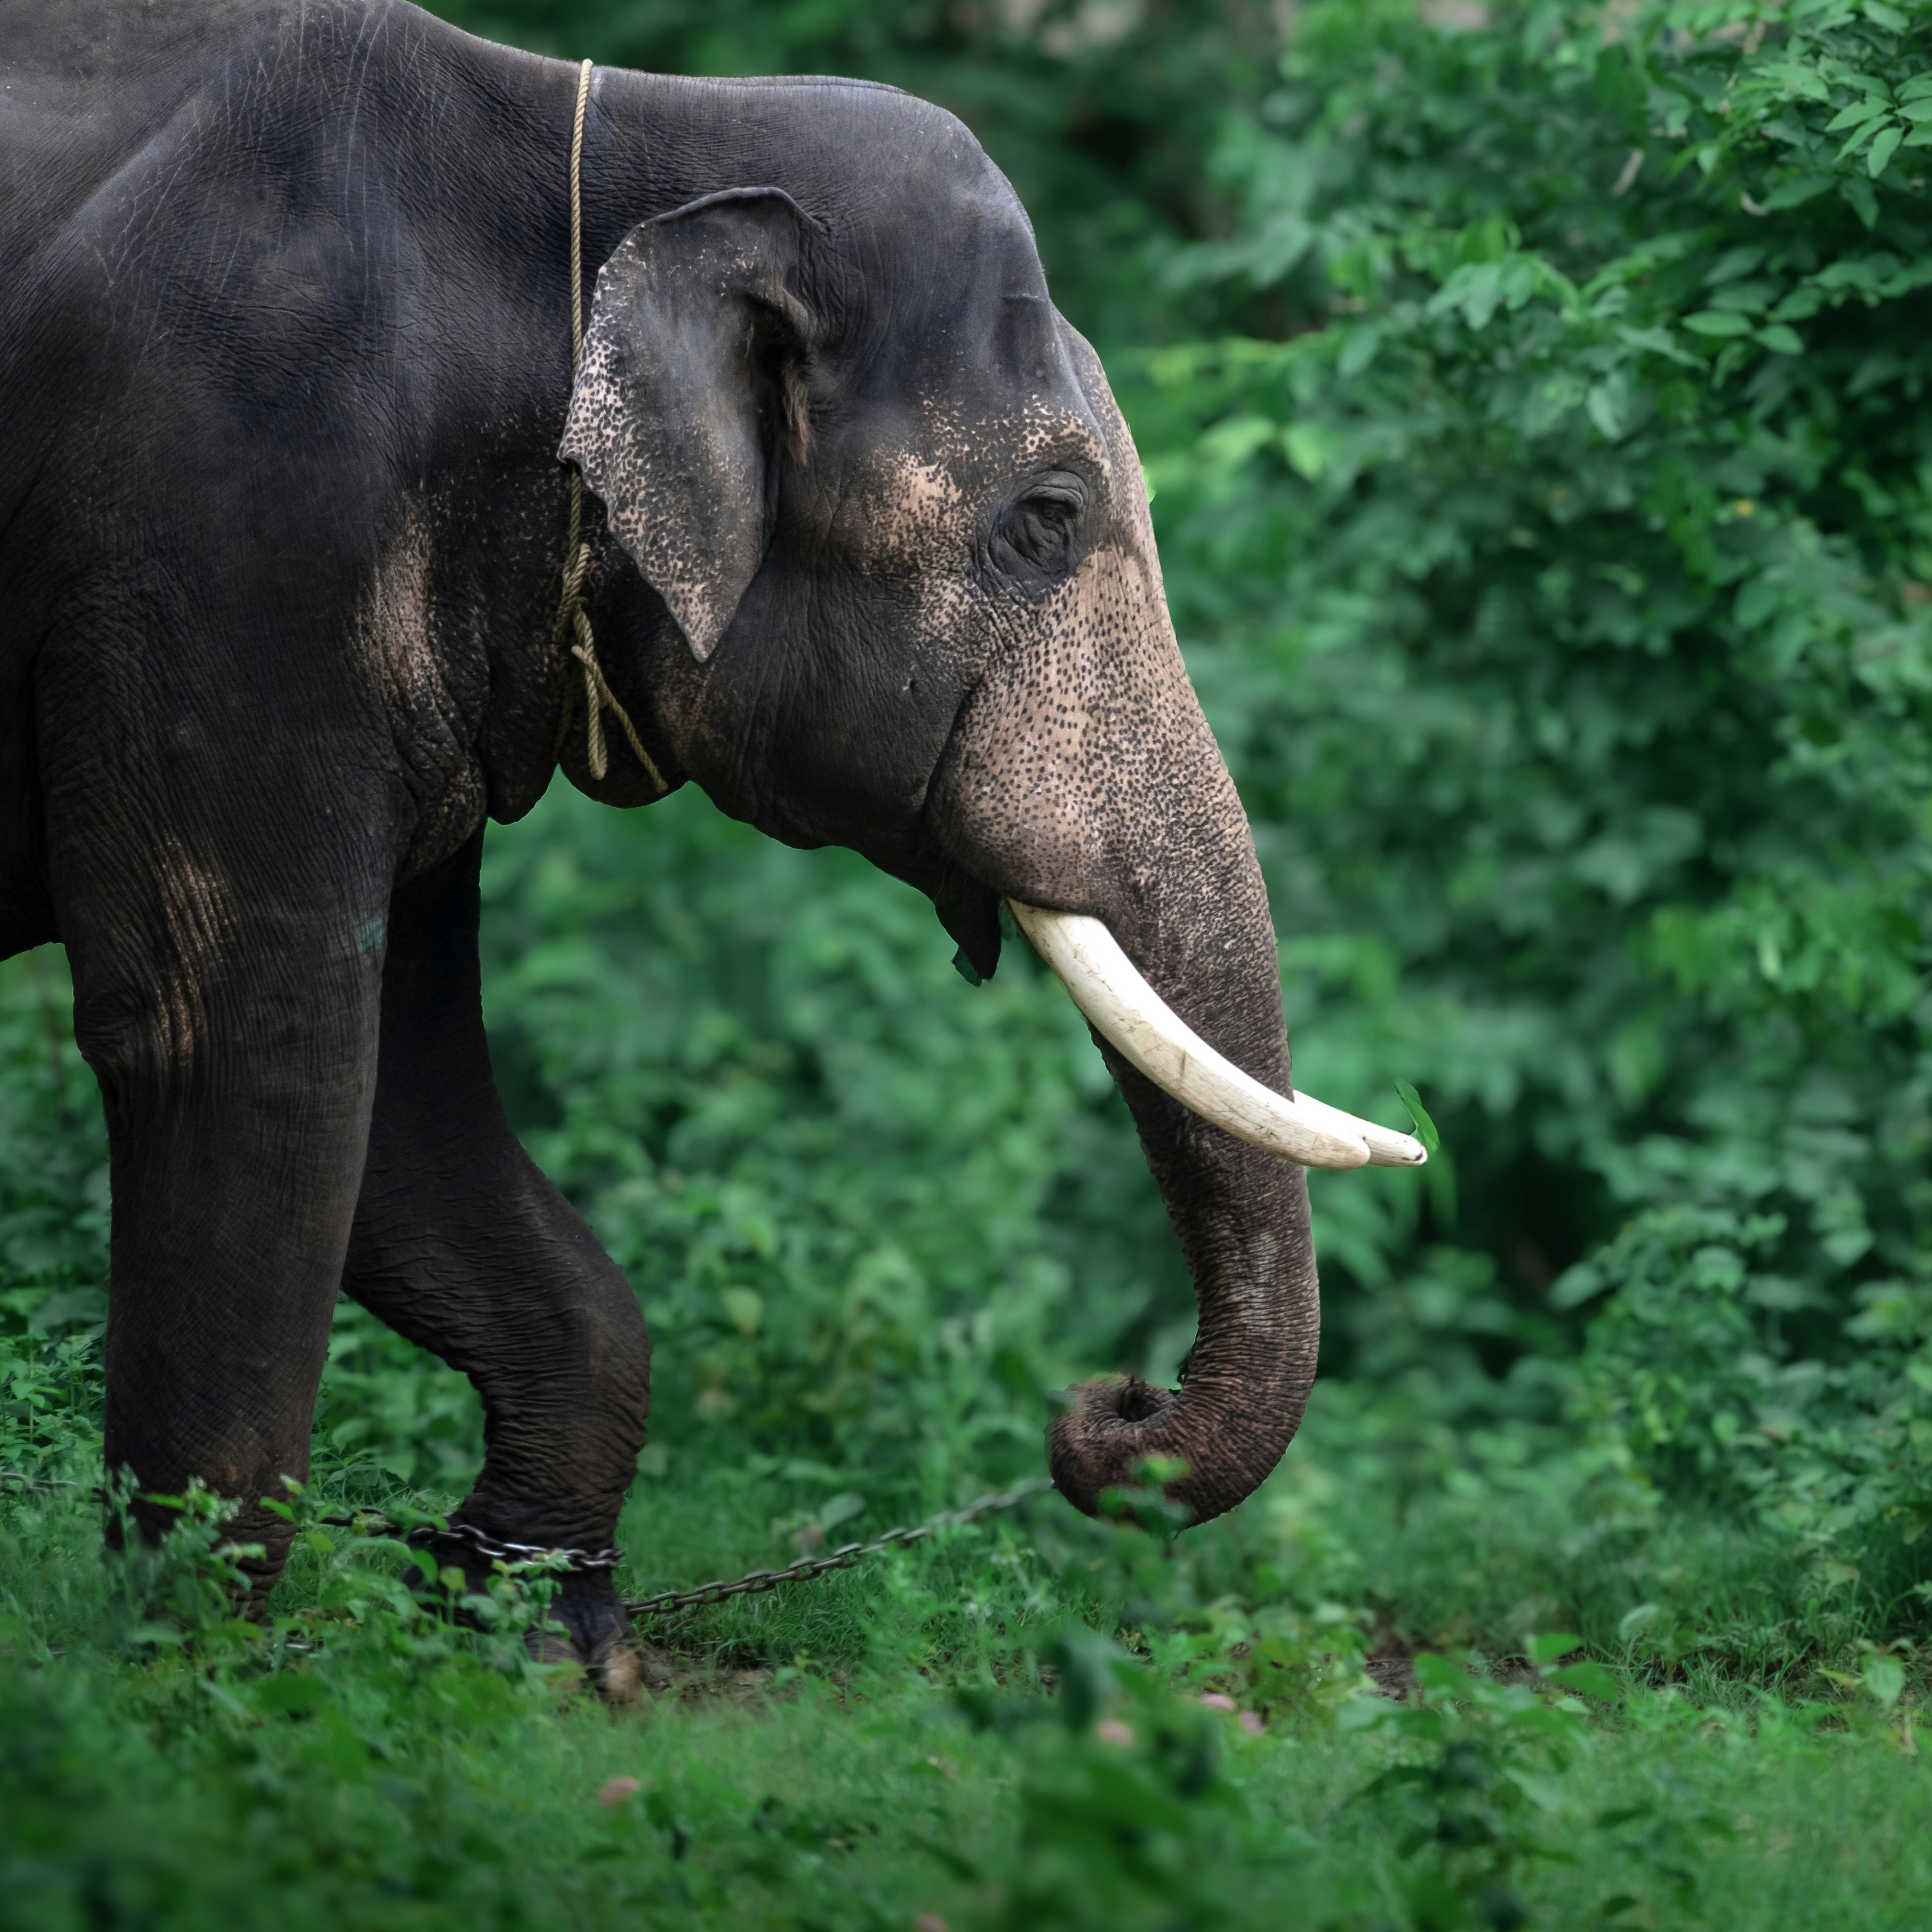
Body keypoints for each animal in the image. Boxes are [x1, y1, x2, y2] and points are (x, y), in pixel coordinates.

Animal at [0, 0, 1420, 1678]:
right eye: (1046, 521)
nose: (1110, 1405)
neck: (618, 146)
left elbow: (402, 1099)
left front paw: (539, 1639)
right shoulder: (238, 523)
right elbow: (243, 1044)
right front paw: (194, 1679)